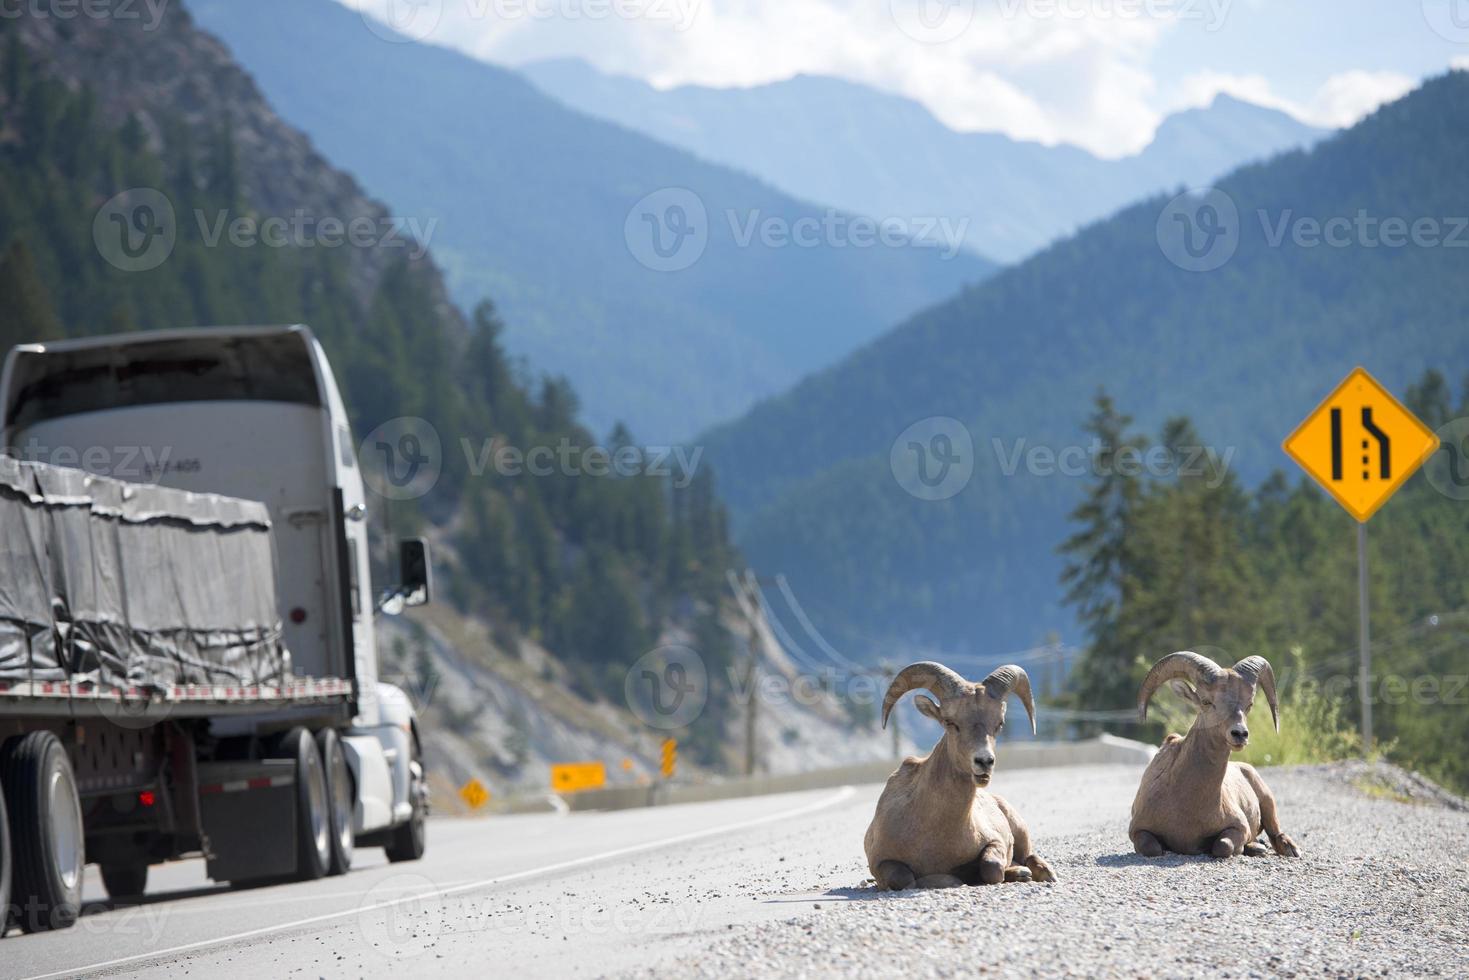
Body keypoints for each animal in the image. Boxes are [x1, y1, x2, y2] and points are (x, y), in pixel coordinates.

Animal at [857, 658, 1057, 887]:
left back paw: (1040, 873)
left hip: (1019, 829)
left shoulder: (995, 841)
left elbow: (992, 867)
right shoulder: (881, 862)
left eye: (999, 724)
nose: (984, 761)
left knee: (1029, 856)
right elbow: (903, 878)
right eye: (950, 722)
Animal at [1128, 658, 1304, 858]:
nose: (1240, 734)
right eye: (1206, 701)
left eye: (1249, 705)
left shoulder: (1239, 827)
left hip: (1267, 799)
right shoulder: (1138, 831)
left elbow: (1223, 846)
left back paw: (1285, 849)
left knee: (1275, 832)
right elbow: (1152, 848)